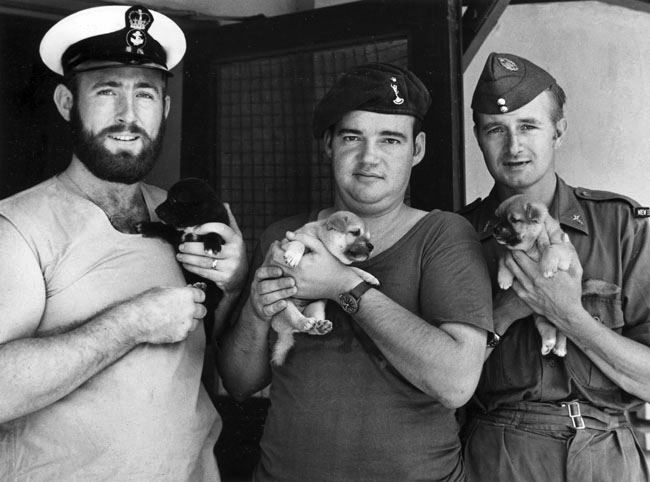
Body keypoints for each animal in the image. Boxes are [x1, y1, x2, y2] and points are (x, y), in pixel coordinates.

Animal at [270, 211, 380, 366]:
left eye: (369, 238)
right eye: (355, 232)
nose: (371, 246)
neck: (320, 238)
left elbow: (353, 269)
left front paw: (369, 276)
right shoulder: (287, 242)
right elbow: (298, 243)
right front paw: (293, 256)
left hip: (317, 307)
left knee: (307, 329)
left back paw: (320, 326)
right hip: (284, 304)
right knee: (297, 321)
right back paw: (304, 321)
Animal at [494, 194, 568, 356]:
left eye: (514, 220)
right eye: (499, 218)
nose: (495, 229)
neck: (530, 246)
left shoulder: (563, 248)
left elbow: (551, 248)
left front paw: (547, 268)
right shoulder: (509, 251)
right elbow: (503, 256)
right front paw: (504, 279)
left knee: (562, 332)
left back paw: (560, 348)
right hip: (539, 317)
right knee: (548, 329)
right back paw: (548, 345)